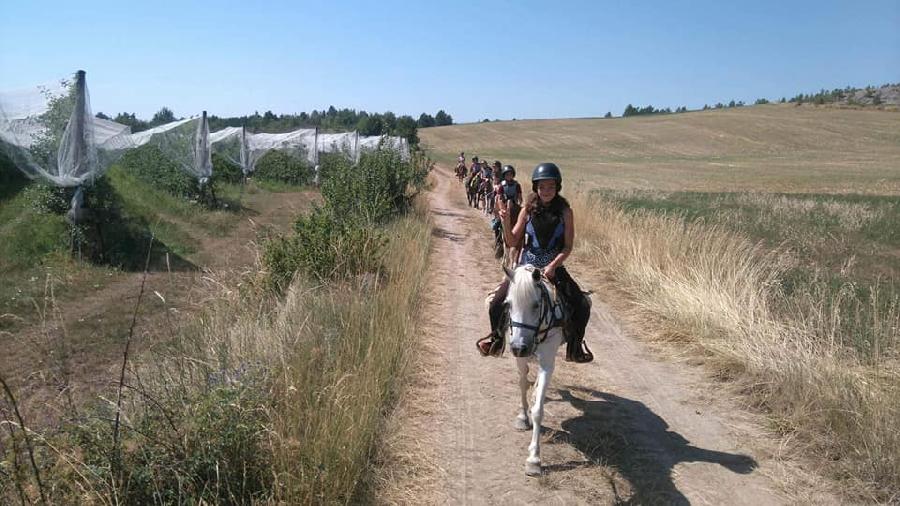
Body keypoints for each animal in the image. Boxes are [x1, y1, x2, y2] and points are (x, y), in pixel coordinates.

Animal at [506, 264, 564, 474]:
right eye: (508, 304)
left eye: (536, 305)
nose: (519, 347)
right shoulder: (520, 359)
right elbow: (522, 383)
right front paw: (523, 417)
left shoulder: (547, 361)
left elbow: (539, 410)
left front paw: (534, 459)